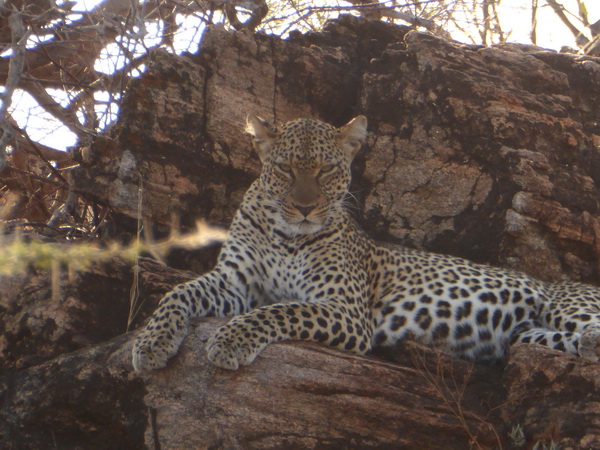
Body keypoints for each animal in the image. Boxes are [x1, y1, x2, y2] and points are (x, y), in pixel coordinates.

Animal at [134, 114, 600, 370]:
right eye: (285, 169)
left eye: (325, 170)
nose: (305, 208)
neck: (287, 235)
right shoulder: (233, 281)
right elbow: (179, 292)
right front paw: (151, 343)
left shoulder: (345, 309)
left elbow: (279, 310)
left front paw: (230, 340)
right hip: (530, 335)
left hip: (566, 304)